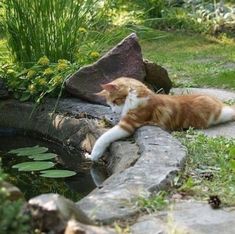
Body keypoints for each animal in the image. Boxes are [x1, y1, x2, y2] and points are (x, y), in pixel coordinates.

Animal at [86, 77, 235, 161]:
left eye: (114, 102)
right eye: (109, 104)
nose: (112, 111)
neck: (135, 95)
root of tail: (216, 100)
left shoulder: (128, 124)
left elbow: (103, 137)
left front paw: (93, 156)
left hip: (220, 114)